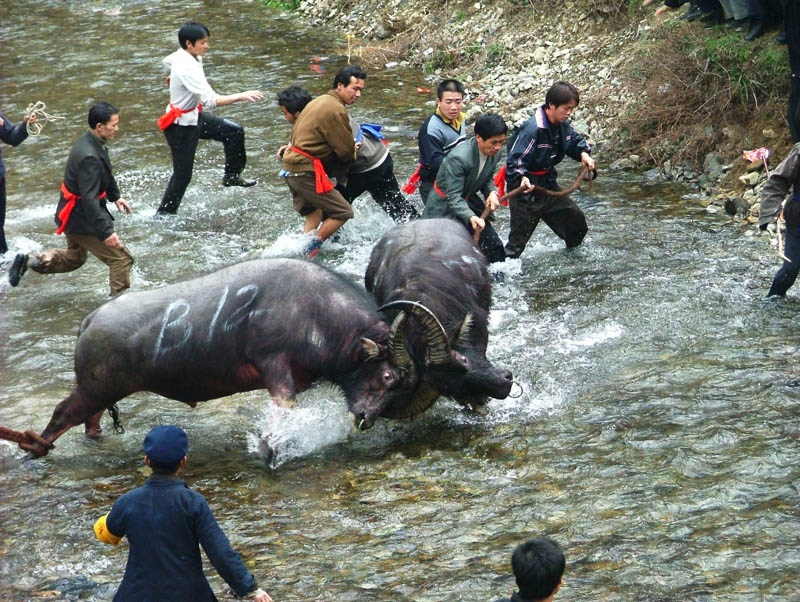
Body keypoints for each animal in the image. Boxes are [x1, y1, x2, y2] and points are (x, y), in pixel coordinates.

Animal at [17, 258, 412, 454]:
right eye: (388, 377)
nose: (366, 419)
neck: (316, 310)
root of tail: (91, 319)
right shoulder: (275, 366)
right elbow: (282, 408)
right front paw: (267, 448)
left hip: (101, 393)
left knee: (90, 422)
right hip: (93, 389)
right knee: (60, 415)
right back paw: (33, 451)